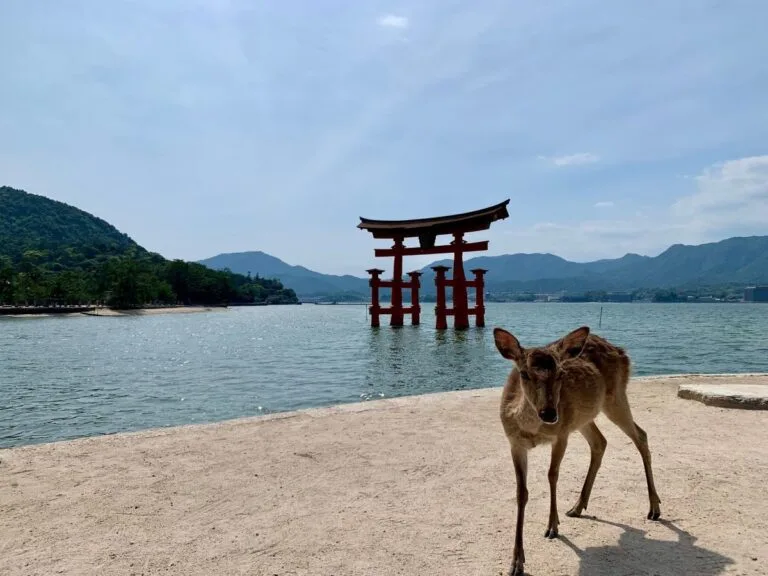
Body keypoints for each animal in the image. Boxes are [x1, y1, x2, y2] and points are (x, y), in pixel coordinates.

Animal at [493, 325, 661, 576]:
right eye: (524, 374)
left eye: (561, 374)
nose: (549, 414)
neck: (532, 430)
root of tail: (622, 352)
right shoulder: (514, 443)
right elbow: (521, 493)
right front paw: (516, 562)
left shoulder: (561, 434)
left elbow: (552, 475)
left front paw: (552, 527)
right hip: (584, 417)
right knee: (600, 442)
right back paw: (577, 506)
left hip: (615, 398)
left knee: (641, 435)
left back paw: (654, 508)